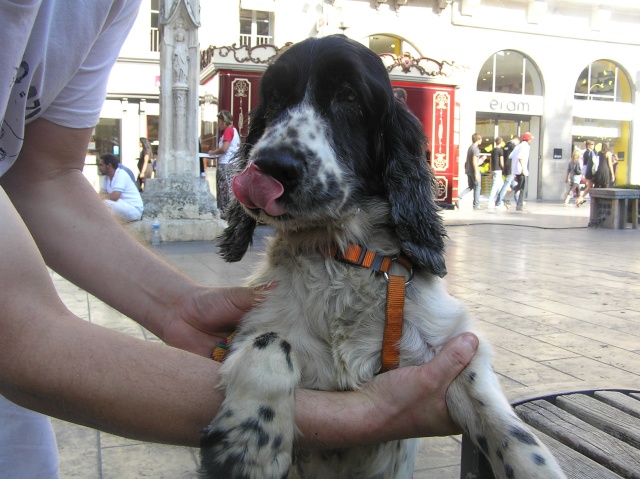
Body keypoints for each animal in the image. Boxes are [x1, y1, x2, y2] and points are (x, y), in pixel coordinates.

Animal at [200, 34, 564, 479]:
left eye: (349, 96)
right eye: (273, 100)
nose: (270, 166)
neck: (341, 257)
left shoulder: (451, 346)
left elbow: (510, 432)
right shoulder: (252, 326)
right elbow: (270, 342)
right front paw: (248, 441)